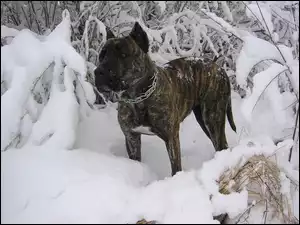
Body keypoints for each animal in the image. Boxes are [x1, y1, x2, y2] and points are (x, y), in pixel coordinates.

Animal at [95, 22, 236, 176]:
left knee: (221, 144)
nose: (98, 71)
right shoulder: (131, 137)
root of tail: (220, 68)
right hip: (204, 120)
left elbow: (176, 166)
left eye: (123, 55)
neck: (137, 98)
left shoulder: (171, 137)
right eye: (102, 55)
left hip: (212, 118)